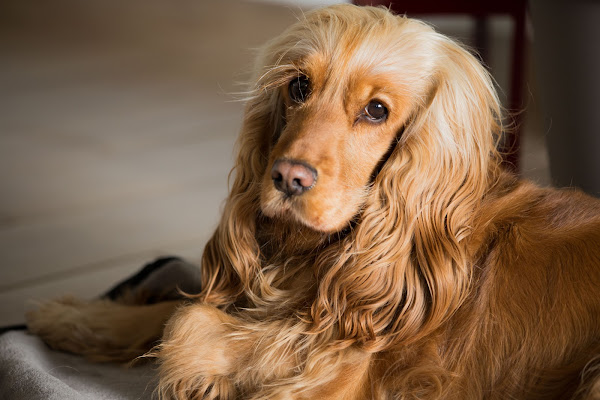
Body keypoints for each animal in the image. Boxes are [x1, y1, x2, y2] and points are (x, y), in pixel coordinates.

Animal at [25, 3, 600, 400]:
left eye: (376, 110)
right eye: (299, 86)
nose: (287, 178)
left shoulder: (338, 376)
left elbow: (189, 323)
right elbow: (180, 307)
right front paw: (77, 316)